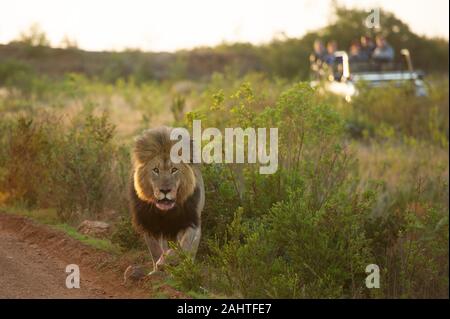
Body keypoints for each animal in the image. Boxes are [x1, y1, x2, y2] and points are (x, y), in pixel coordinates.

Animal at [129, 127, 205, 276]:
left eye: (174, 169)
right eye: (155, 170)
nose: (165, 190)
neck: (166, 212)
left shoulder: (190, 222)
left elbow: (181, 247)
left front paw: (168, 262)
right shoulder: (149, 224)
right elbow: (155, 250)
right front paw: (156, 270)